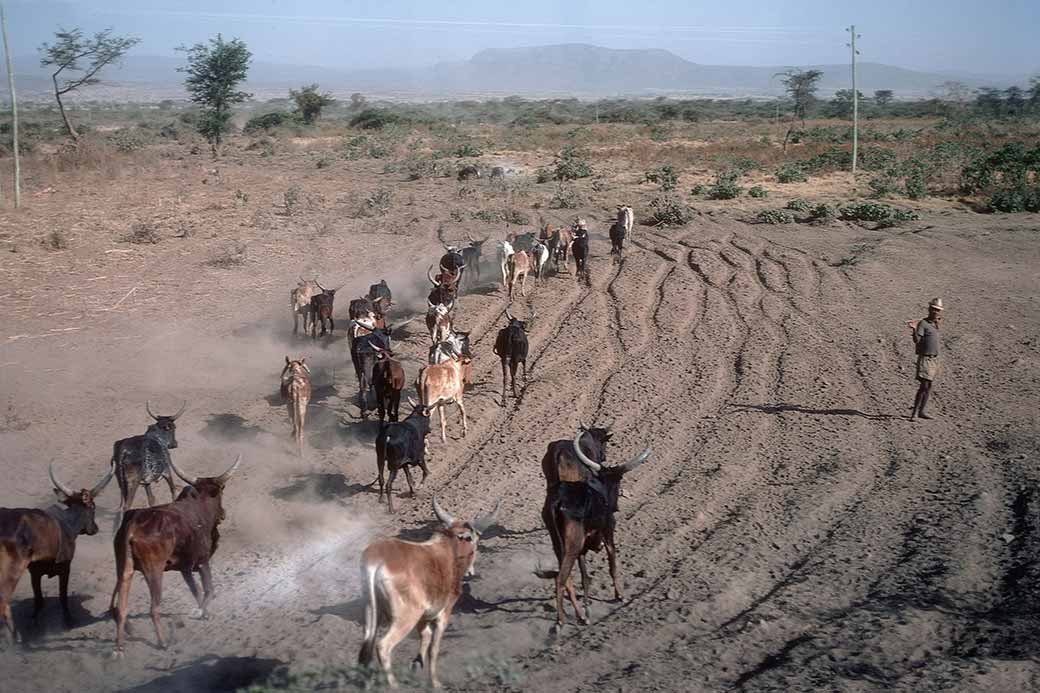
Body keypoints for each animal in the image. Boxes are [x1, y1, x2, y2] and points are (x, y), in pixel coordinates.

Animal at [0, 464, 112, 643]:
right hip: (12, 570)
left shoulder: (34, 572)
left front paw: (35, 622)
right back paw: (15, 639)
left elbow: (39, 601)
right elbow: (62, 596)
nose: (95, 529)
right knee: (3, 603)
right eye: (93, 507)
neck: (67, 523)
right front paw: (68, 621)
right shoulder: (65, 566)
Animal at [110, 454, 242, 658]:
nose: (223, 514)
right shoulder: (203, 561)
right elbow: (209, 589)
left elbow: (196, 590)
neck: (200, 506)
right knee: (154, 608)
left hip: (124, 569)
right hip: (154, 570)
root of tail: (132, 525)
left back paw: (119, 648)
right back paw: (163, 642)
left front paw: (204, 613)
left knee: (121, 608)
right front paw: (199, 612)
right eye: (222, 491)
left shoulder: (185, 568)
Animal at [358, 497, 500, 689]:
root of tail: (376, 560)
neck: (448, 550)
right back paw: (394, 685)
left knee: (366, 648)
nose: (471, 571)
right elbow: (434, 648)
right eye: (472, 539)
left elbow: (425, 636)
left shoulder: (424, 616)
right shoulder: (443, 613)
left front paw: (416, 664)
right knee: (382, 646)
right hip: (406, 616)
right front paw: (435, 682)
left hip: (372, 612)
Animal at [538, 428, 650, 628]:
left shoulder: (583, 548)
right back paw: (562, 620)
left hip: (559, 544)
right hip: (573, 545)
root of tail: (558, 501)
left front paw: (588, 604)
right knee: (561, 578)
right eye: (618, 480)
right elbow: (612, 564)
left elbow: (585, 577)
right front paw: (619, 595)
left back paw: (582, 615)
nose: (615, 507)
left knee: (566, 577)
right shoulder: (608, 533)